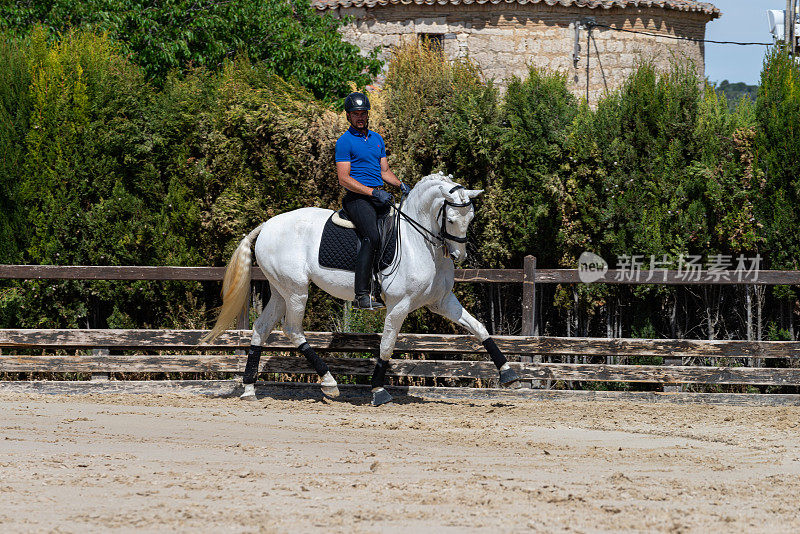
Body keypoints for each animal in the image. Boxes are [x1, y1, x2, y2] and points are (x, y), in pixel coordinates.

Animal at [203, 174, 520, 408]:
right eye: (451, 220)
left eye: (471, 217)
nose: (457, 255)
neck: (420, 242)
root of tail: (267, 225)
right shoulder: (399, 305)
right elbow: (387, 345)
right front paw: (378, 390)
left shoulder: (442, 301)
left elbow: (479, 328)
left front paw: (509, 373)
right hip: (296, 290)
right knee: (292, 329)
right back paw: (329, 384)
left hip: (281, 289)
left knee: (261, 328)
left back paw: (249, 389)